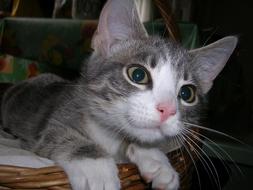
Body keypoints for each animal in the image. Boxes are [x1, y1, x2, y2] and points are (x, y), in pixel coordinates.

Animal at [0, 0, 237, 190]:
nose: (167, 109)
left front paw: (157, 160)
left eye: (187, 93)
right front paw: (97, 170)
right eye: (138, 74)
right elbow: (58, 135)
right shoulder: (50, 125)